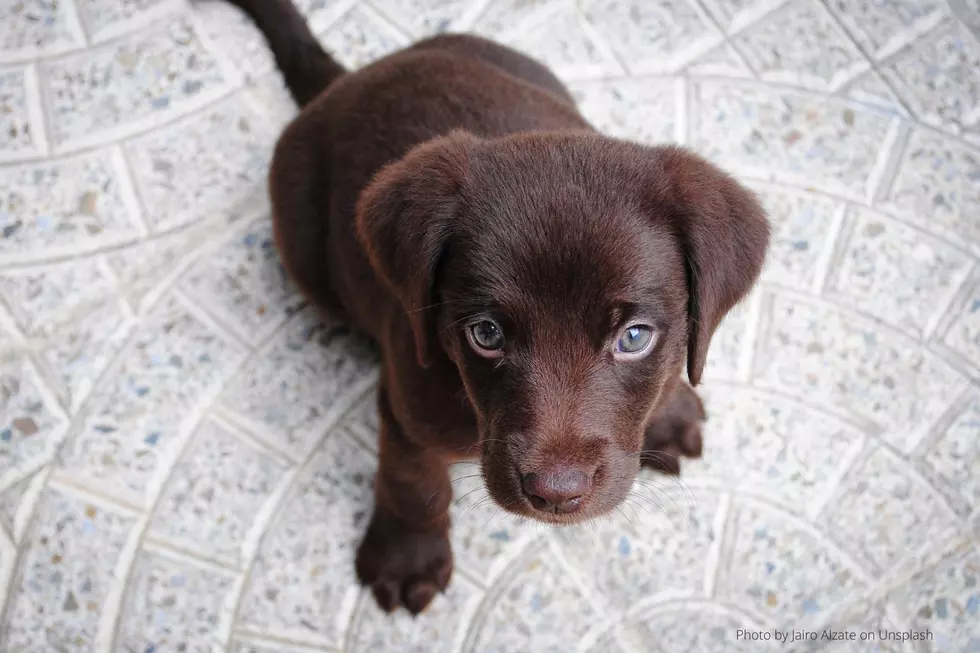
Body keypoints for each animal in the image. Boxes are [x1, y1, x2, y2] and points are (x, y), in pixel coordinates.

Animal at [226, 0, 768, 612]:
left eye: (634, 337)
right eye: (485, 334)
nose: (556, 494)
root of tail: (348, 80)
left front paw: (669, 410)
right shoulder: (408, 404)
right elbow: (413, 484)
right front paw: (406, 557)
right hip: (303, 249)